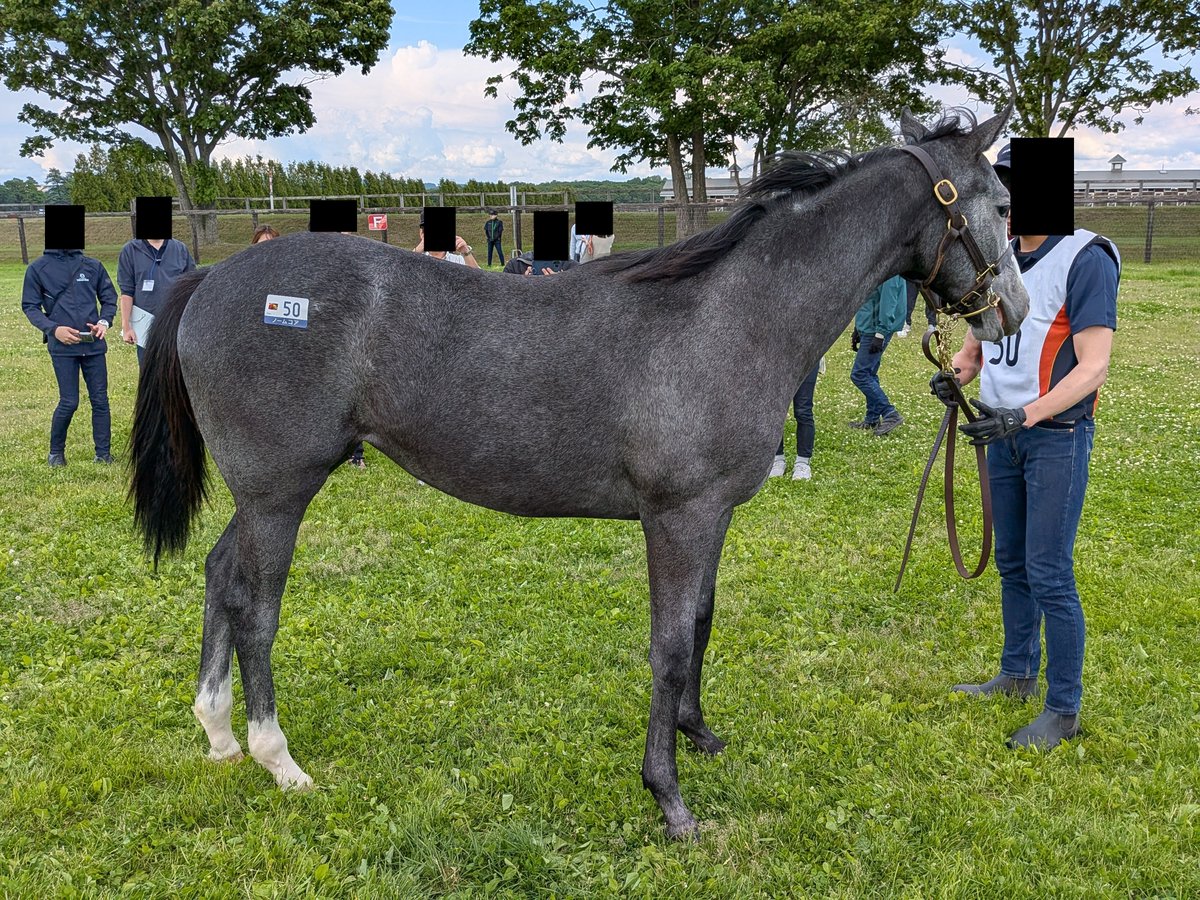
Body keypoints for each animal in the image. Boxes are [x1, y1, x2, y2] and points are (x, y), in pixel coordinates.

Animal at [131, 107, 1028, 840]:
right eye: (1001, 203)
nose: (1012, 314)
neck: (732, 315)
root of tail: (211, 279)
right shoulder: (677, 517)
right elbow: (670, 646)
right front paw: (669, 799)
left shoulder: (713, 516)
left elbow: (703, 623)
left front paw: (700, 736)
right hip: (280, 494)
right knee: (255, 610)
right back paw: (277, 759)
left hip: (257, 497)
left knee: (218, 577)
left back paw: (218, 735)